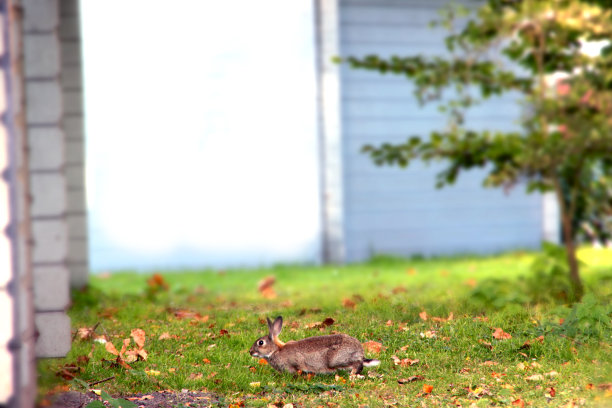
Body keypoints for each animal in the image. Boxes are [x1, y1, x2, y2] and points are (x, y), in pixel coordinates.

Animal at [249, 318, 378, 374]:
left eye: (261, 343)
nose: (250, 352)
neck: (276, 350)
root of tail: (360, 351)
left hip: (336, 360)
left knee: (357, 364)